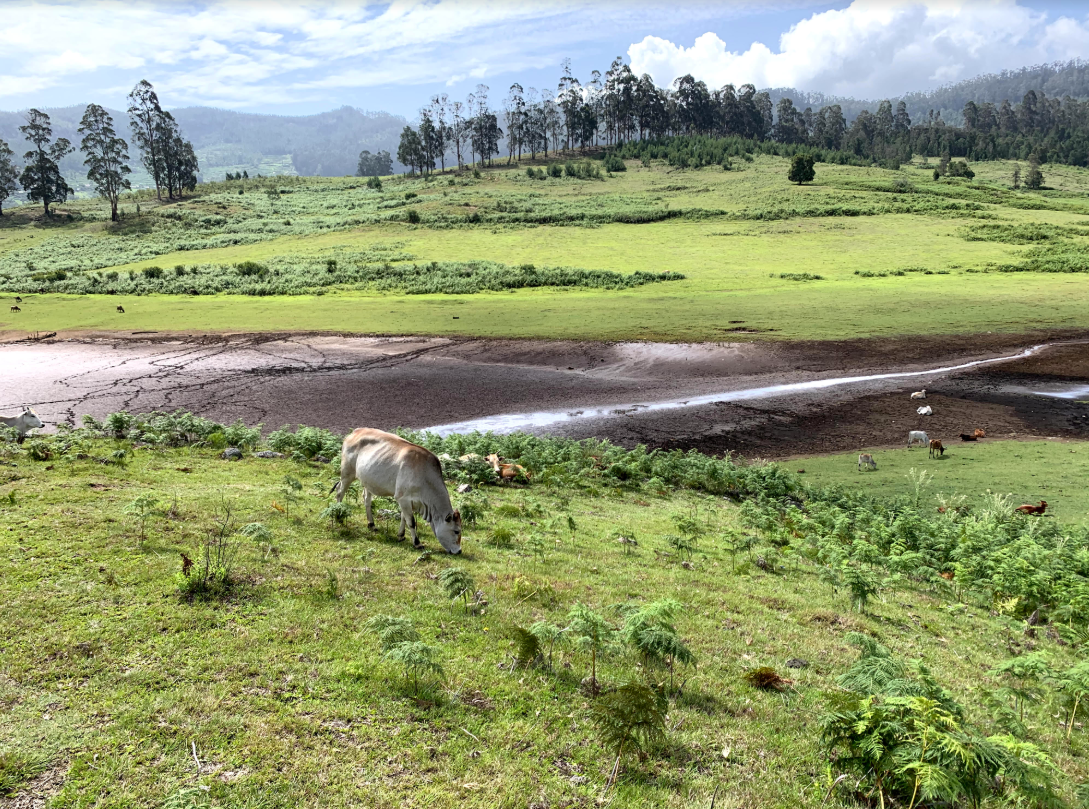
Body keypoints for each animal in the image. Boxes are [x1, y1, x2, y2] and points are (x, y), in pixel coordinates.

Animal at [331, 426, 459, 553]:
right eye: (456, 531)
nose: (459, 551)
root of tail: (356, 431)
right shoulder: (403, 498)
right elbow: (411, 521)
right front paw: (417, 543)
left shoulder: (407, 501)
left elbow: (404, 517)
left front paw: (401, 535)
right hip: (347, 473)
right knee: (339, 491)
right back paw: (338, 516)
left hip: (367, 480)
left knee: (366, 499)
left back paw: (371, 524)